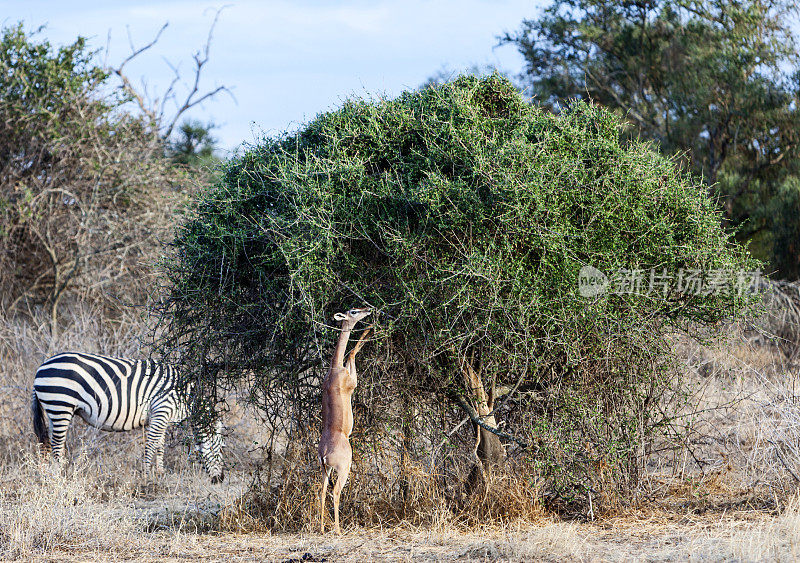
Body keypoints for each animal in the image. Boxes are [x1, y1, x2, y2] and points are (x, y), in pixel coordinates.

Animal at [31, 350, 225, 482]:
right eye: (221, 448)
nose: (220, 479)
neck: (185, 395)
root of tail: (41, 366)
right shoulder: (161, 410)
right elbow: (151, 446)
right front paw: (146, 477)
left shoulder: (161, 417)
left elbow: (160, 446)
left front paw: (160, 474)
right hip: (60, 404)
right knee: (57, 446)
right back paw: (60, 477)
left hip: (54, 411)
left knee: (51, 444)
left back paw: (56, 474)